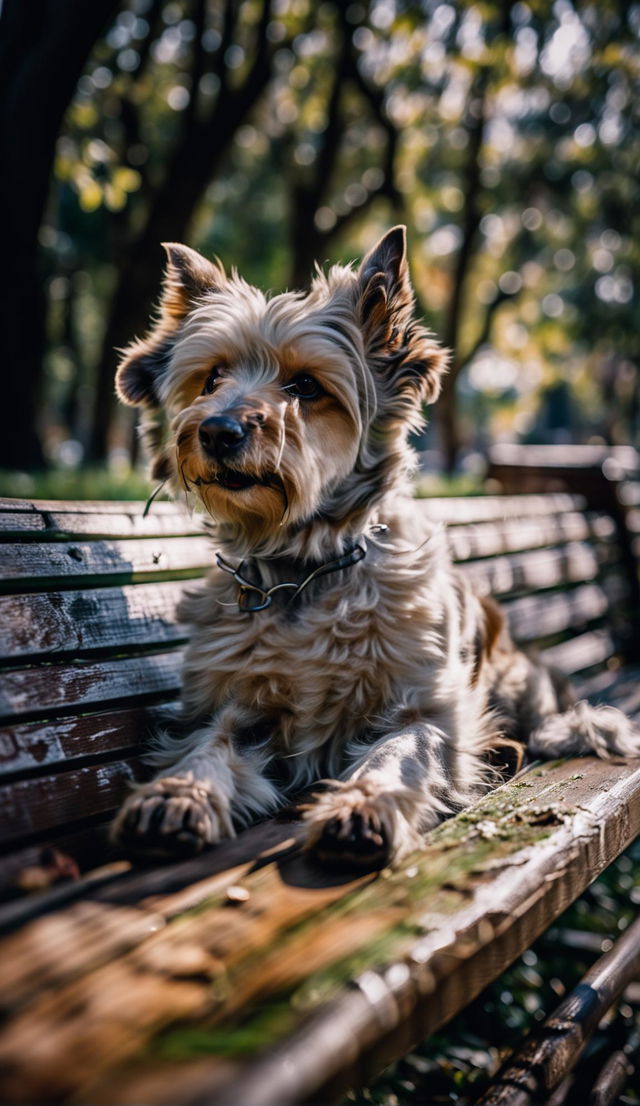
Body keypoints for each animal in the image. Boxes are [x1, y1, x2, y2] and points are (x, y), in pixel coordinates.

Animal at [111, 226, 640, 871]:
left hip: (521, 680)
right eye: (212, 378)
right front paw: (177, 795)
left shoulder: (427, 704)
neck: (307, 568)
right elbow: (209, 743)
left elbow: (400, 749)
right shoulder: (232, 706)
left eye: (305, 386)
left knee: (554, 721)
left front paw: (364, 805)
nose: (216, 430)